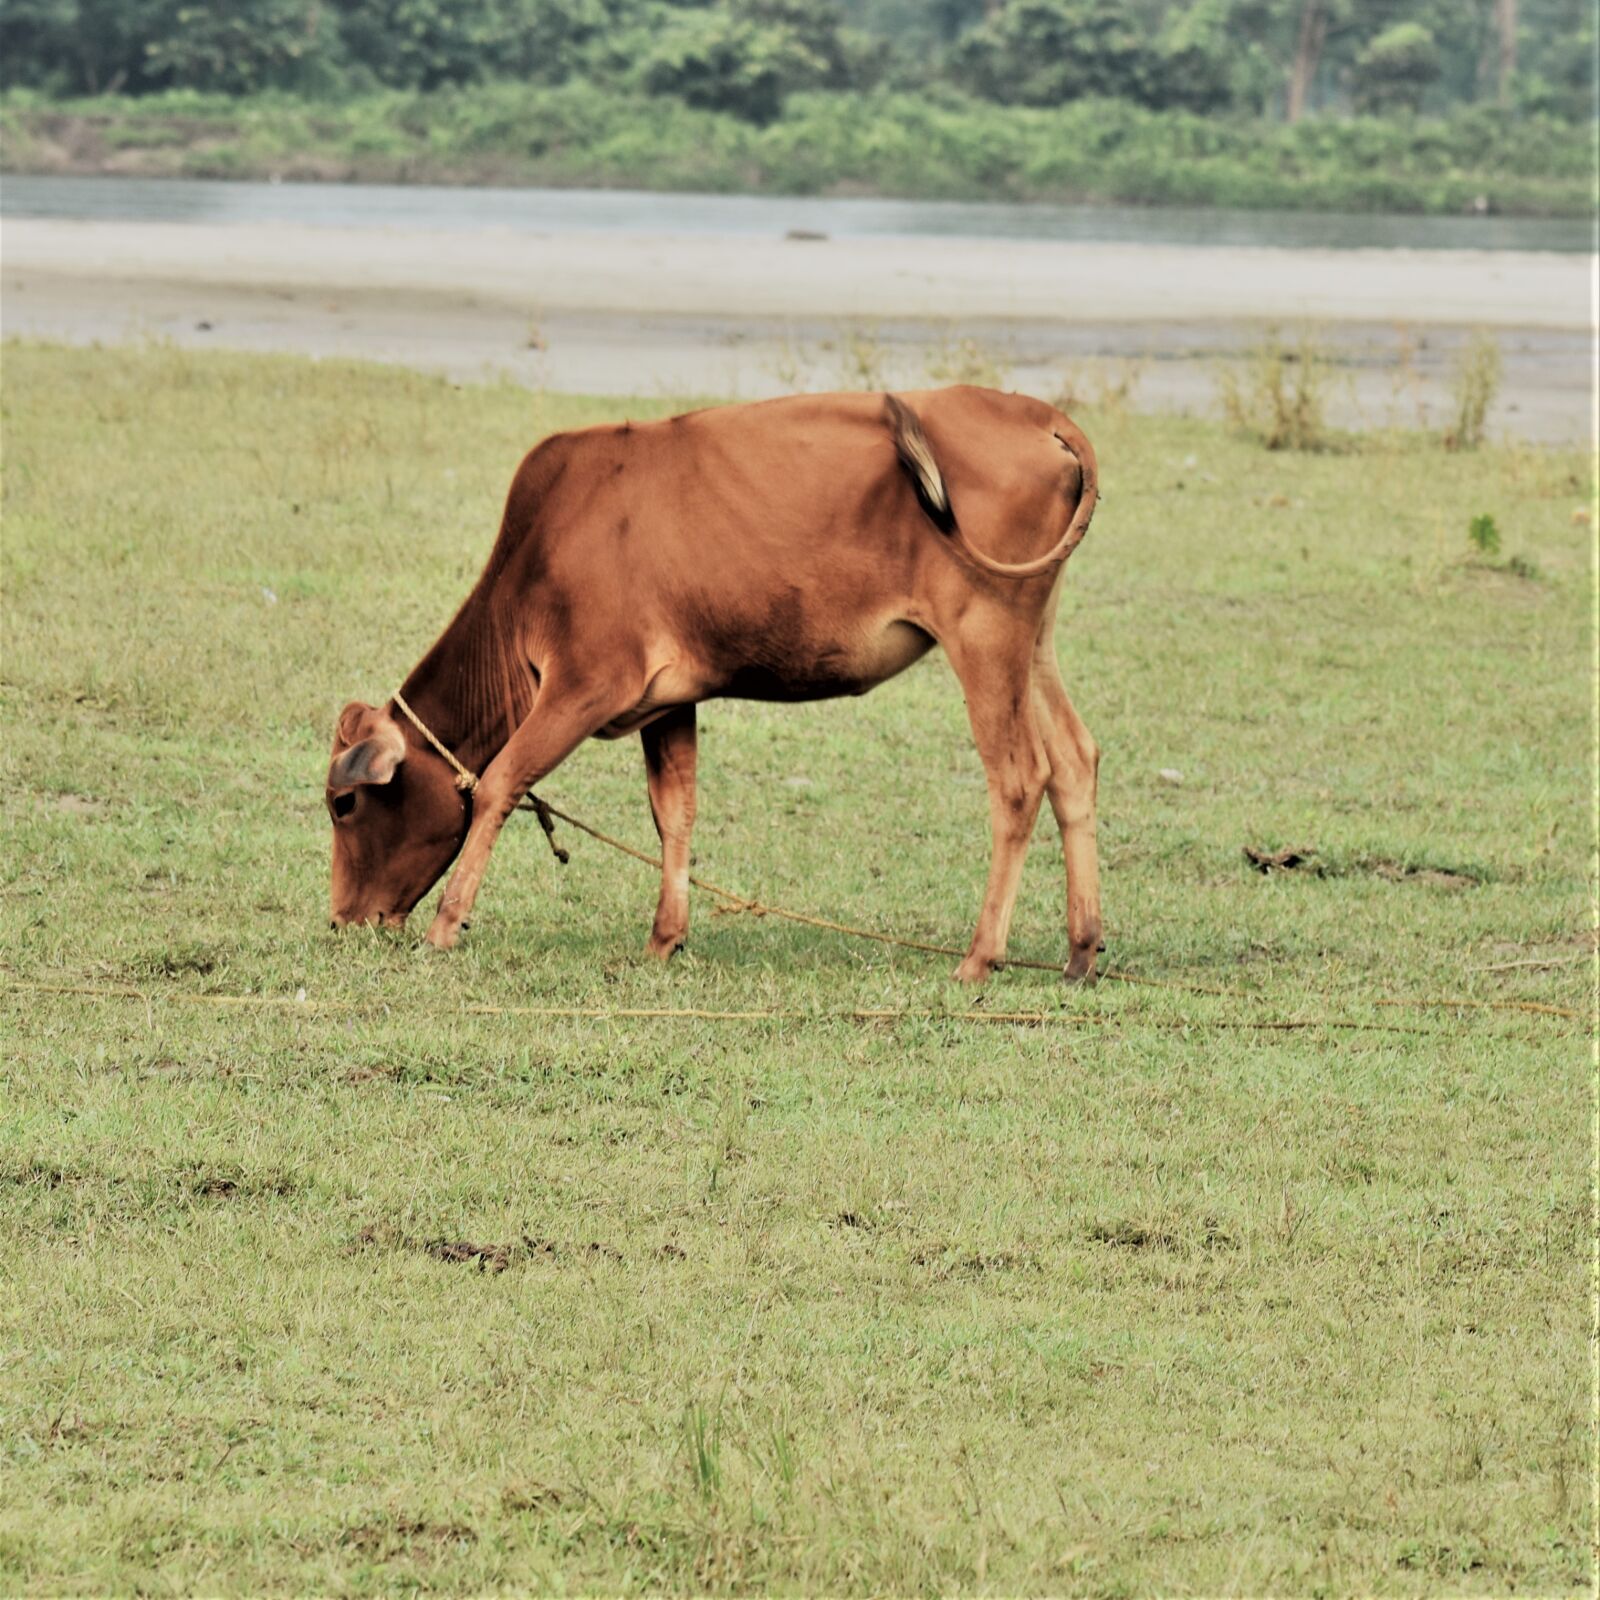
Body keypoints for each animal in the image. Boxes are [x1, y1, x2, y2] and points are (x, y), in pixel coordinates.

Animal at [326, 385, 1103, 983]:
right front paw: (664, 938)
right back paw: (1080, 951)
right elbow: (674, 811)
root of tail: (1037, 414)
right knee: (1073, 761)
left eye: (344, 804)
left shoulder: (587, 683)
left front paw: (446, 925)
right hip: (1032, 641)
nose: (341, 920)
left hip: (984, 634)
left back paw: (979, 957)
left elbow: (500, 782)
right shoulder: (666, 701)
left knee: (1019, 779)